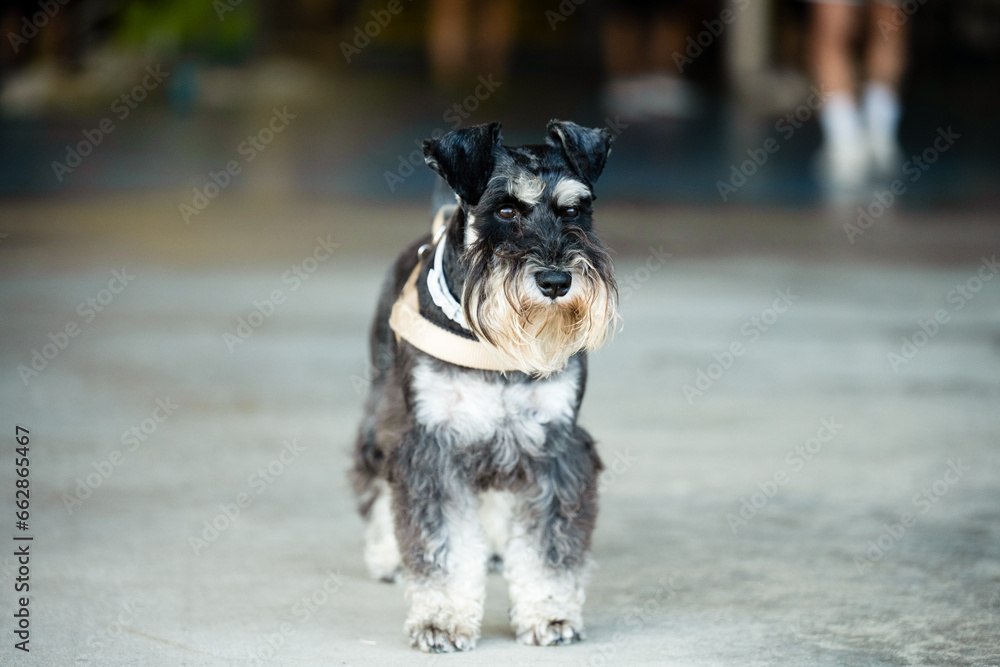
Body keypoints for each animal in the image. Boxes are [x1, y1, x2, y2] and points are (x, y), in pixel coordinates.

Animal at [350, 118, 616, 652]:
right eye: (505, 210)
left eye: (574, 209)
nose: (556, 281)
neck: (495, 345)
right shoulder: (430, 444)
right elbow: (443, 544)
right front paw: (441, 619)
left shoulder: (553, 445)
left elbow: (548, 544)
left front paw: (549, 612)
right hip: (384, 410)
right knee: (376, 477)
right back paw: (387, 553)